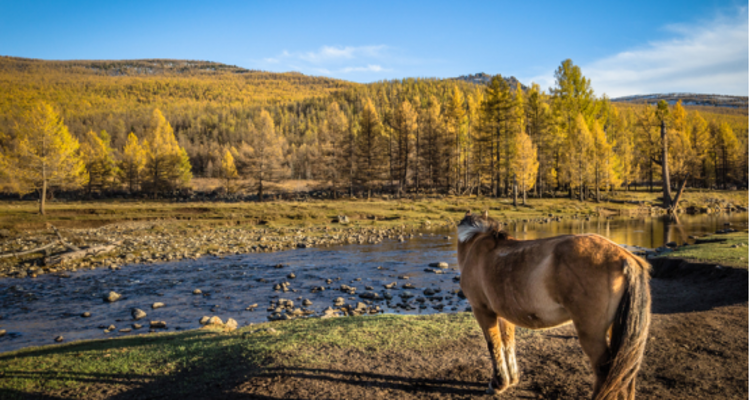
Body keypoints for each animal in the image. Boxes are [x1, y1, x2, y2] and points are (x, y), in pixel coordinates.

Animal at [458, 211, 652, 398]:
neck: (478, 248)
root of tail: (624, 257)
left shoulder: (483, 311)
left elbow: (494, 345)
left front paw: (498, 384)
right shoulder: (504, 315)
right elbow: (507, 343)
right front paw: (511, 380)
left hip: (592, 334)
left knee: (604, 370)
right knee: (624, 375)